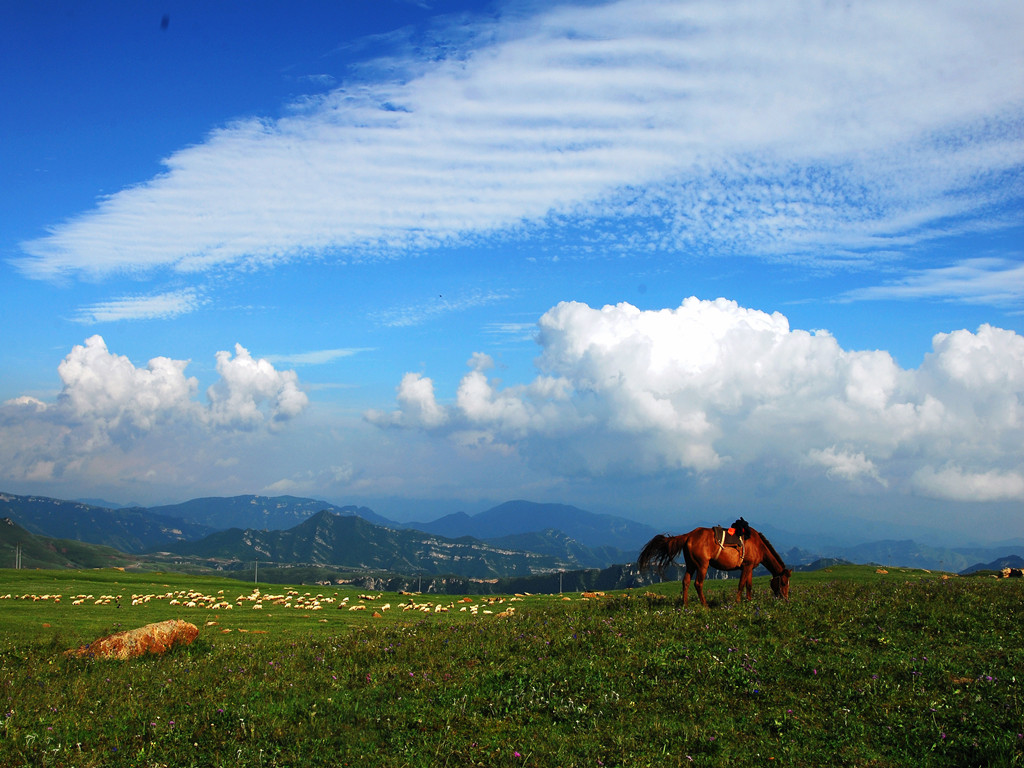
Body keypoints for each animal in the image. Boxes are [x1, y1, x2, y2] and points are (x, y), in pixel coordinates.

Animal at [638, 528, 790, 610]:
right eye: (783, 582)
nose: (785, 599)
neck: (757, 545)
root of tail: (689, 535)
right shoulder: (747, 566)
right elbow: (741, 584)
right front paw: (738, 602)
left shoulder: (750, 567)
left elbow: (749, 585)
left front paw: (749, 601)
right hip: (702, 565)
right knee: (698, 584)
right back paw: (705, 605)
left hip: (691, 565)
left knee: (685, 582)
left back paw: (685, 604)